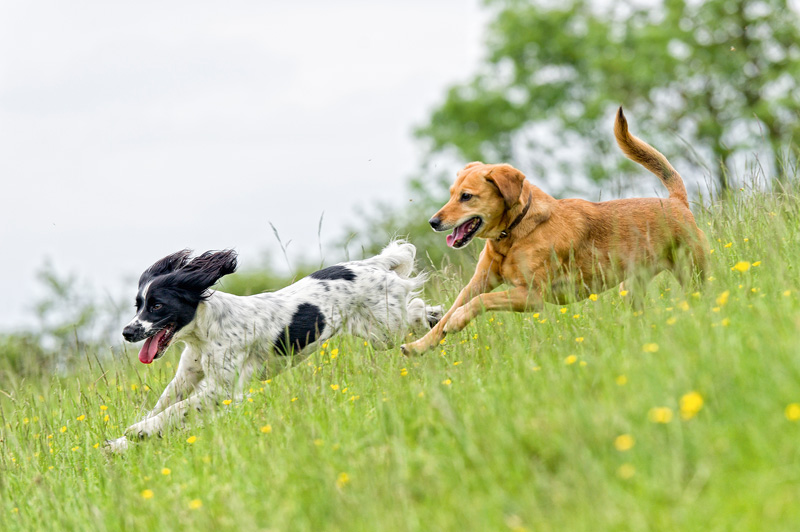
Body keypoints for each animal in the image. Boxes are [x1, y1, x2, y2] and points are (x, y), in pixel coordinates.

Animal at [104, 242, 444, 454]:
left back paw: (433, 320)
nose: (127, 332)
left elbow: (176, 410)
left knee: (413, 309)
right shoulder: (188, 375)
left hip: (384, 330)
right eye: (138, 304)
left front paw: (141, 431)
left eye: (157, 306)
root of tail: (374, 264)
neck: (203, 331)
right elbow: (166, 403)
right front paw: (121, 443)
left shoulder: (222, 389)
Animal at [404, 108, 708, 356]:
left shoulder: (532, 296)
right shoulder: (478, 282)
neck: (514, 234)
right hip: (631, 287)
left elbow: (479, 302)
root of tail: (677, 202)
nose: (433, 221)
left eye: (466, 196)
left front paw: (457, 321)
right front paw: (419, 346)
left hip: (693, 273)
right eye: (451, 194)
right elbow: (448, 313)